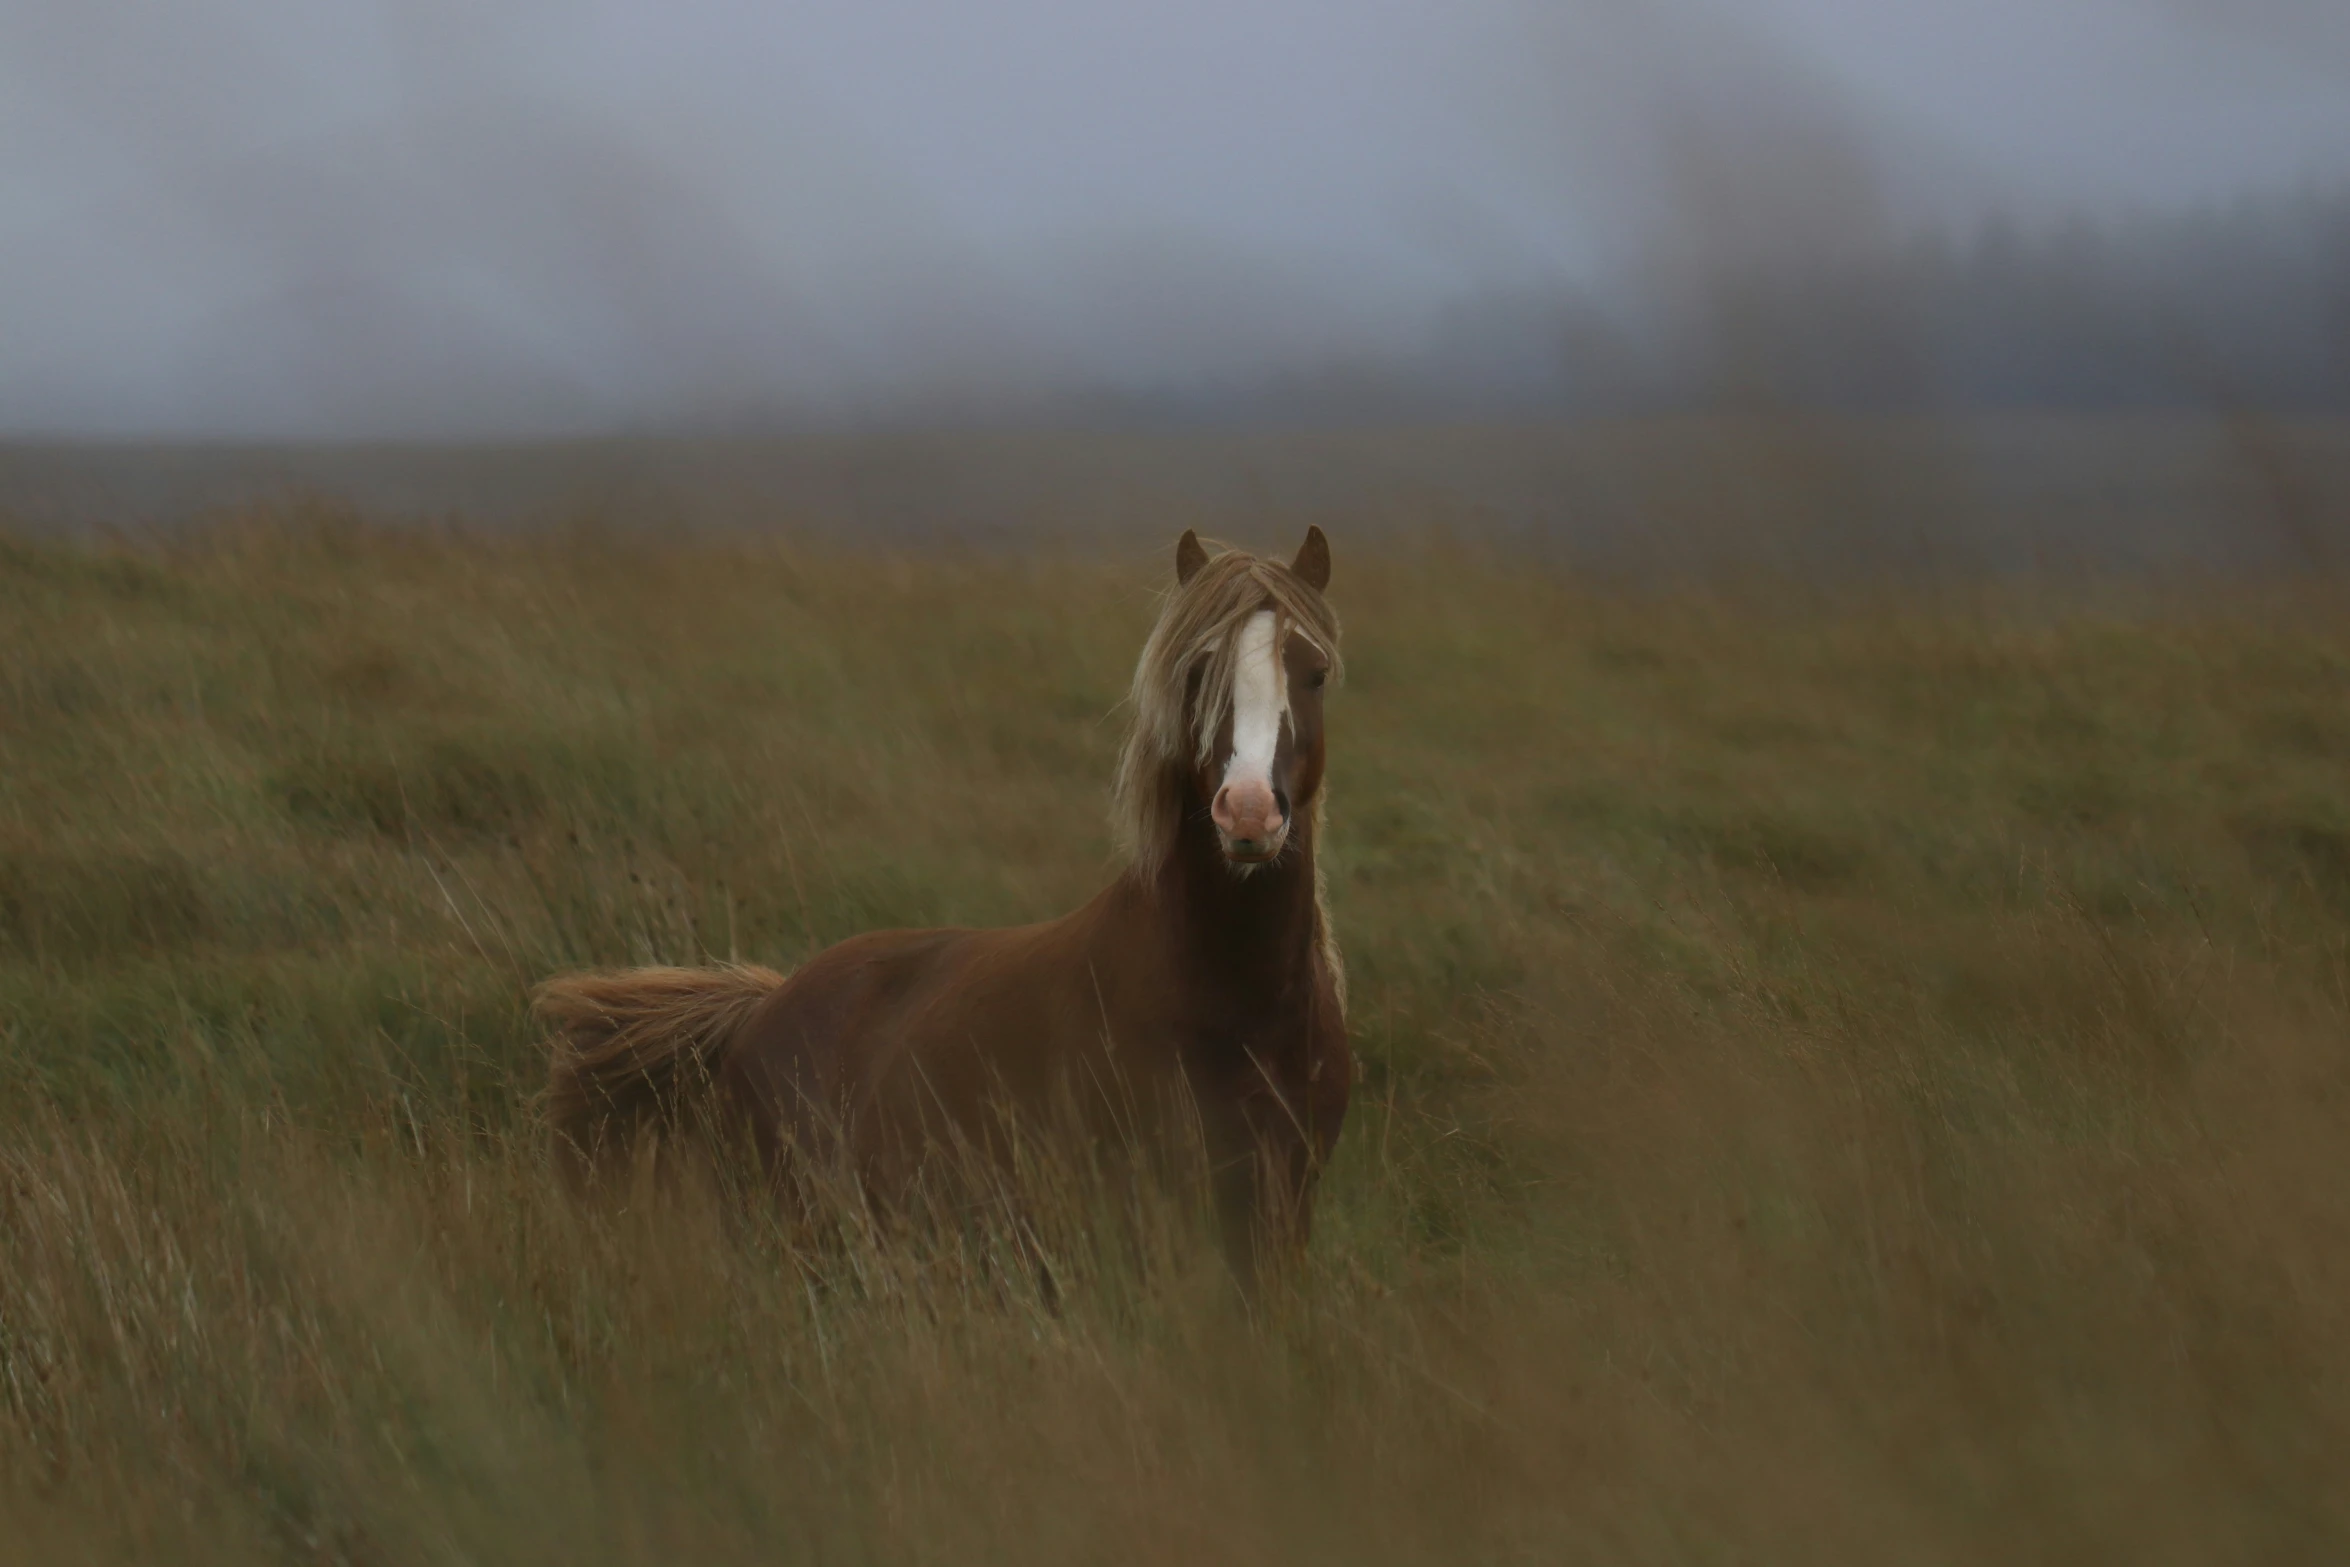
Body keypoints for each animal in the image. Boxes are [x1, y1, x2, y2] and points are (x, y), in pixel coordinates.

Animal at [528, 526, 1344, 1287]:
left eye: (1315, 673)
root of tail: (761, 1008)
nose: (1247, 813)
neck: (1229, 1005)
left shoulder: (1281, 1213)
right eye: (1198, 671)